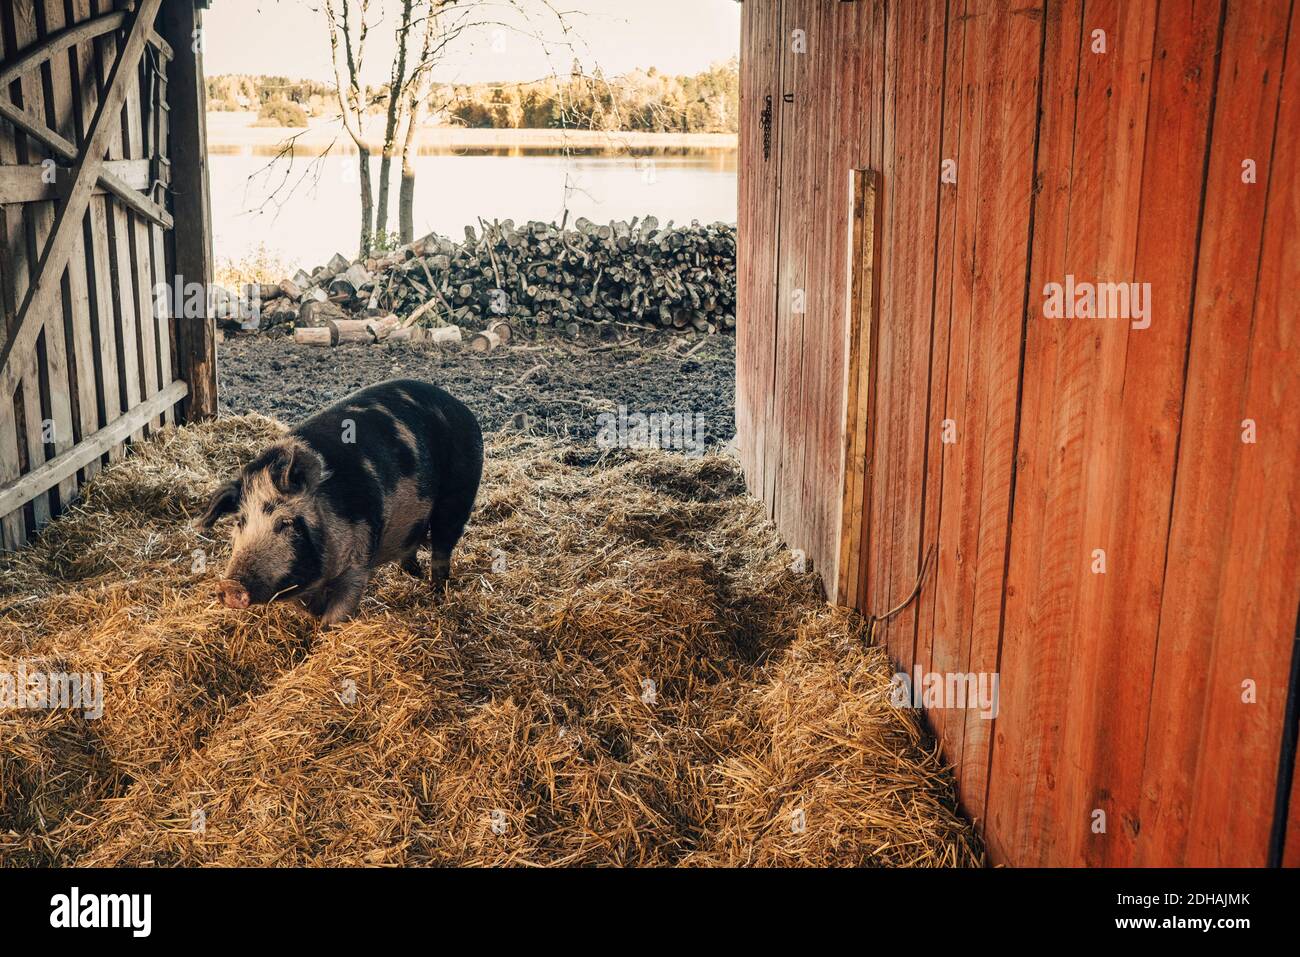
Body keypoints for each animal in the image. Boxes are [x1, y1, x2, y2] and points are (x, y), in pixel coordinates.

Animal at [200, 377, 486, 624]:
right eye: (240, 522)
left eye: (285, 523)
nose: (229, 585)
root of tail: (460, 407)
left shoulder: (358, 564)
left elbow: (338, 614)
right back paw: (410, 573)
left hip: (458, 496)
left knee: (443, 547)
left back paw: (436, 592)